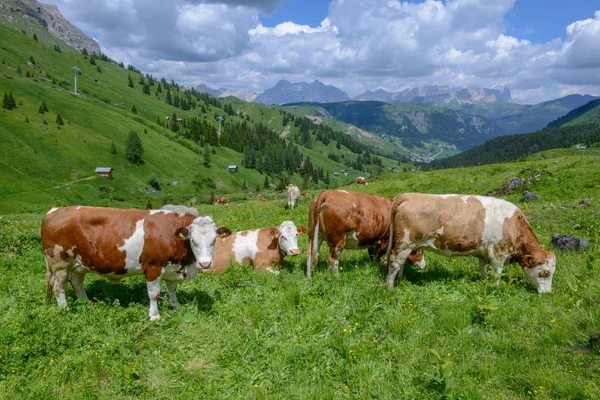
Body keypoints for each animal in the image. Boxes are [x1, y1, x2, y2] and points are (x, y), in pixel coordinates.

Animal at [39, 208, 227, 320]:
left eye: (214, 240)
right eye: (193, 241)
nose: (205, 263)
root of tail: (54, 210)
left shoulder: (172, 268)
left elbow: (172, 289)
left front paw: (176, 305)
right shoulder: (153, 267)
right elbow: (154, 294)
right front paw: (155, 316)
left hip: (79, 263)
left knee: (77, 284)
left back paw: (87, 304)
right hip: (60, 263)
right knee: (59, 287)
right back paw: (65, 310)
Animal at [386, 195, 556, 294]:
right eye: (545, 272)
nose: (547, 293)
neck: (513, 224)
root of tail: (407, 196)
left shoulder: (483, 254)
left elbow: (484, 270)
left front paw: (484, 283)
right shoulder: (497, 253)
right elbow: (497, 273)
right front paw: (496, 288)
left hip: (406, 245)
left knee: (401, 263)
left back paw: (401, 280)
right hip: (404, 242)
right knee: (395, 263)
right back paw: (390, 287)